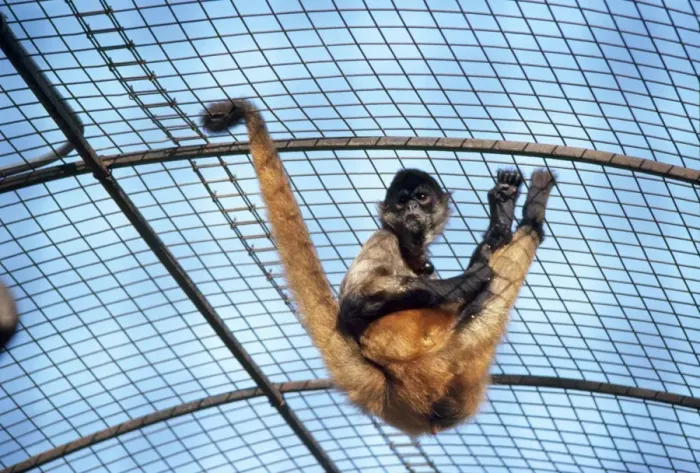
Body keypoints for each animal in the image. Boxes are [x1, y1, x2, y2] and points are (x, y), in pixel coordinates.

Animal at [200, 98, 556, 436]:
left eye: (421, 197)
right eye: (401, 201)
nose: (411, 208)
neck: (408, 250)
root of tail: (390, 386)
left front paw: (499, 217)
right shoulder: (382, 237)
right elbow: (355, 302)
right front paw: (463, 281)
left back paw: (504, 216)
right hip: (441, 362)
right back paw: (531, 218)